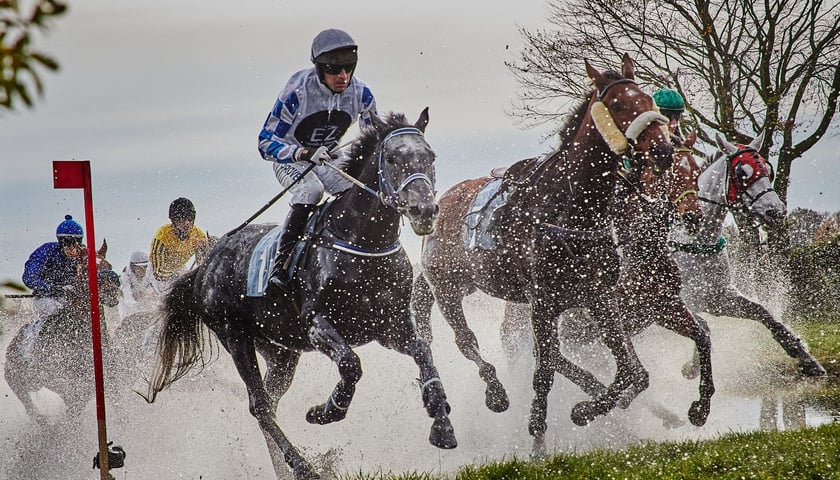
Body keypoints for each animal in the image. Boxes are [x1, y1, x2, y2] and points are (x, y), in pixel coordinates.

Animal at [4, 242, 121, 422]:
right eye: (87, 268)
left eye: (109, 266)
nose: (111, 291)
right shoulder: (70, 389)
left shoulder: (111, 384)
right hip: (15, 380)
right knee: (30, 408)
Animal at [148, 109, 456, 480]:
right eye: (393, 159)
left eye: (430, 156)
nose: (424, 210)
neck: (360, 241)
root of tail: (204, 266)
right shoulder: (318, 325)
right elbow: (350, 364)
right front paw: (326, 410)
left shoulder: (389, 324)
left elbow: (423, 350)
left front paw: (441, 422)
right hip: (235, 337)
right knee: (260, 406)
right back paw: (303, 467)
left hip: (280, 350)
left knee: (271, 401)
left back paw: (286, 467)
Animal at [410, 54, 672, 452]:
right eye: (618, 104)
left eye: (647, 99)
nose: (664, 150)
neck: (571, 208)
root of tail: (438, 204)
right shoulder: (543, 301)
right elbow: (544, 372)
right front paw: (537, 439)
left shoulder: (599, 296)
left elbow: (635, 372)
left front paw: (587, 409)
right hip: (447, 289)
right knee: (467, 342)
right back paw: (496, 392)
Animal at [668, 130, 828, 376]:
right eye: (741, 172)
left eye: (768, 171)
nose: (776, 211)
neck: (695, 242)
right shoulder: (680, 302)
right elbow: (702, 326)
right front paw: (692, 366)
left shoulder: (719, 298)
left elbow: (765, 314)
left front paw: (805, 357)